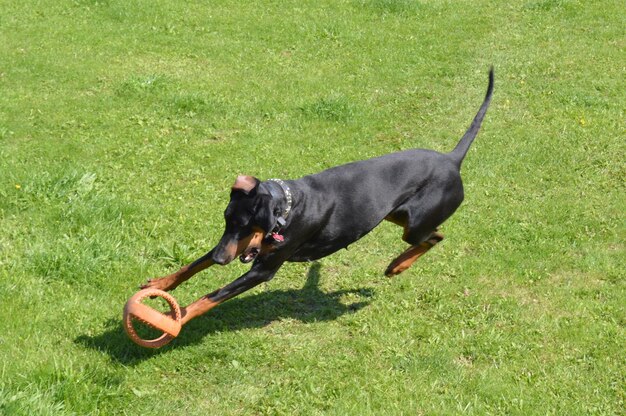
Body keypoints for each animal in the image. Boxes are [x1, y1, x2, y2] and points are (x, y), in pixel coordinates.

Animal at [143, 68, 492, 324]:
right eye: (227, 222)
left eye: (246, 225)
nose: (220, 259)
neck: (287, 207)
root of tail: (452, 159)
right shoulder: (237, 246)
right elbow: (193, 264)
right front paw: (159, 284)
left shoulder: (263, 269)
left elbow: (212, 295)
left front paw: (177, 317)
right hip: (395, 215)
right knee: (433, 235)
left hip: (417, 224)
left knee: (435, 236)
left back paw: (397, 265)